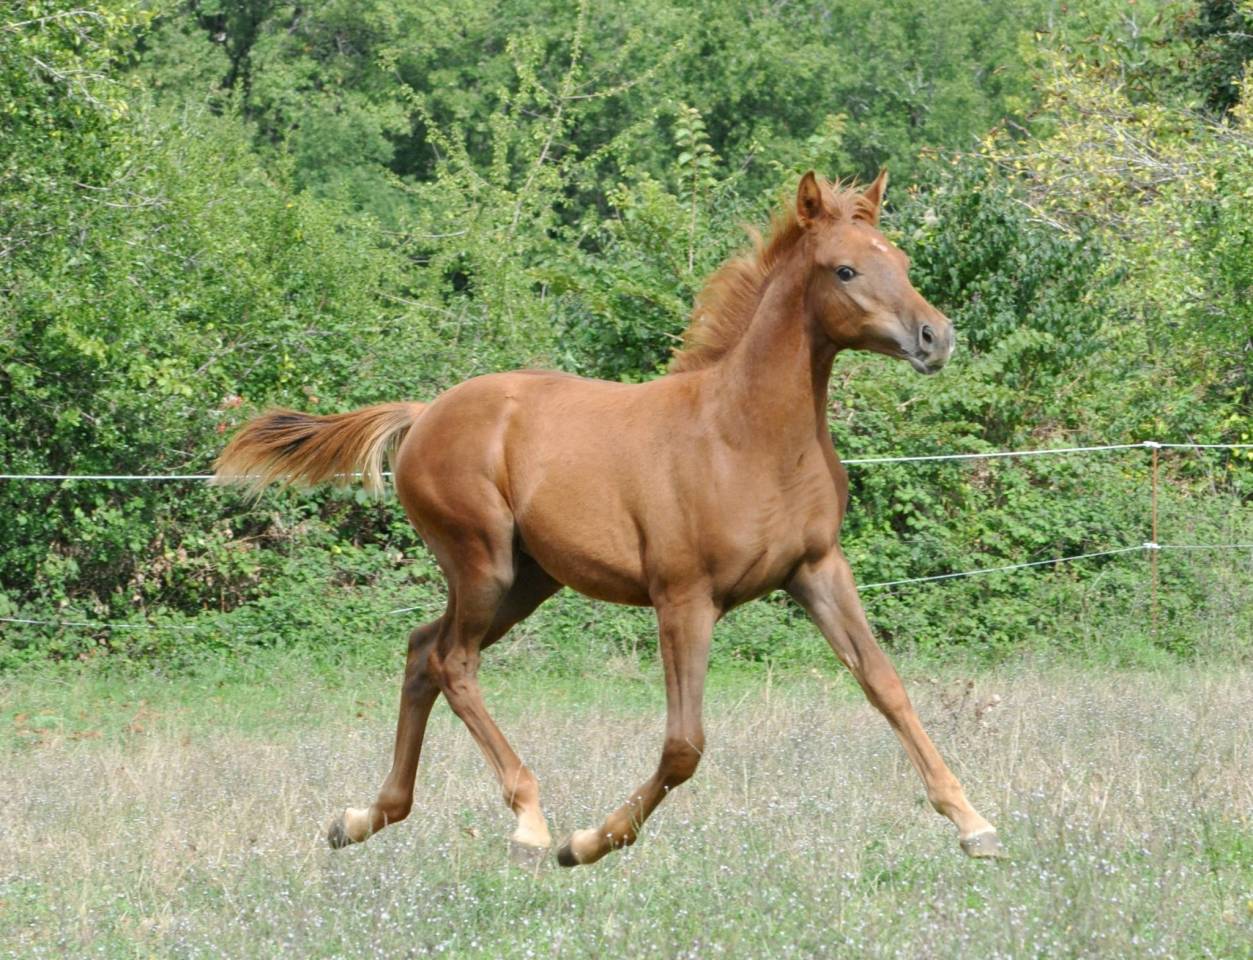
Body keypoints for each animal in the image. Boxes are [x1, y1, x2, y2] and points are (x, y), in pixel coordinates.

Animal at [214, 170, 1002, 865]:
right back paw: (529, 824)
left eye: (900, 260)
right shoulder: (683, 598)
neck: (746, 437)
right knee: (451, 662)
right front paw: (587, 843)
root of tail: (426, 411)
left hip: (527, 581)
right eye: (844, 270)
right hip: (481, 563)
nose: (935, 337)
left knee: (419, 652)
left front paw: (974, 824)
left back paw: (362, 819)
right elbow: (683, 746)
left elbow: (885, 685)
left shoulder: (815, 571)